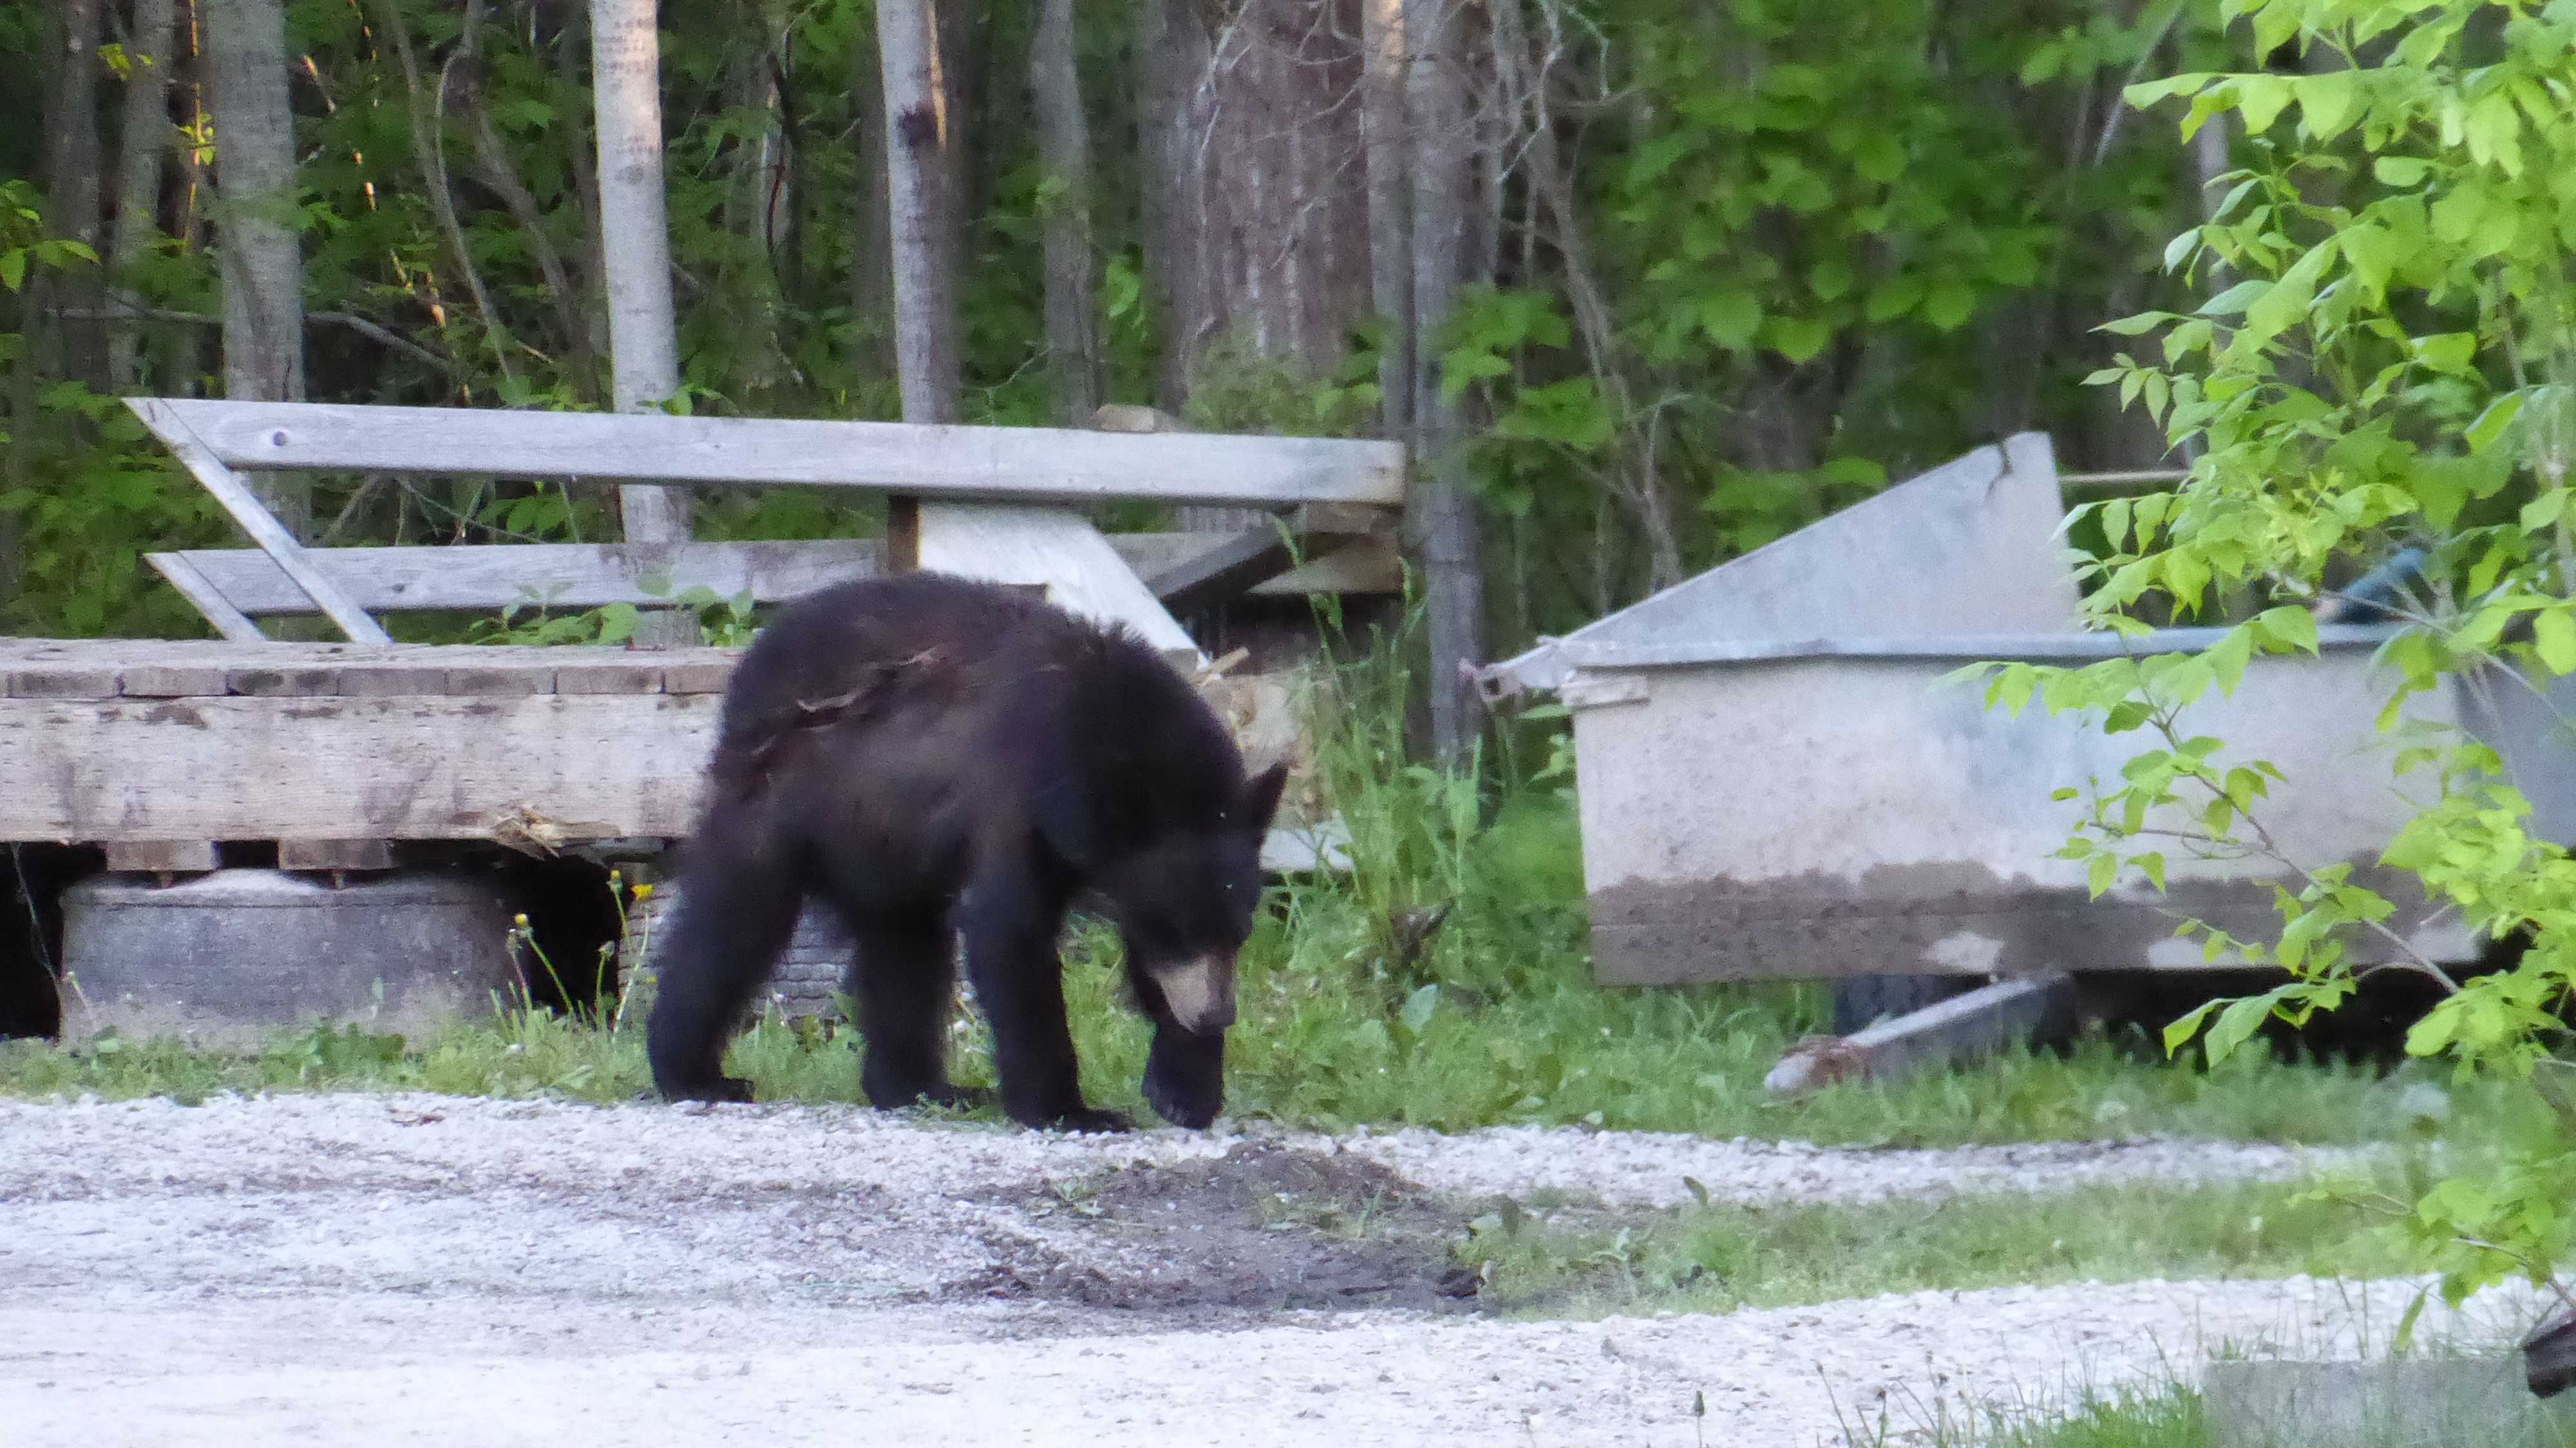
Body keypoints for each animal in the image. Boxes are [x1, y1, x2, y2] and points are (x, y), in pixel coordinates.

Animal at [645, 572, 1287, 1131]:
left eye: (1240, 931)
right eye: (1179, 929)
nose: (1217, 1015)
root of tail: (749, 668)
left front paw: (1186, 1088)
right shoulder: (1015, 794)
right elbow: (1009, 930)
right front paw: (1071, 1110)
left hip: (887, 844)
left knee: (906, 948)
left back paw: (921, 1087)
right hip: (782, 800)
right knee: (734, 920)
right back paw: (695, 1074)